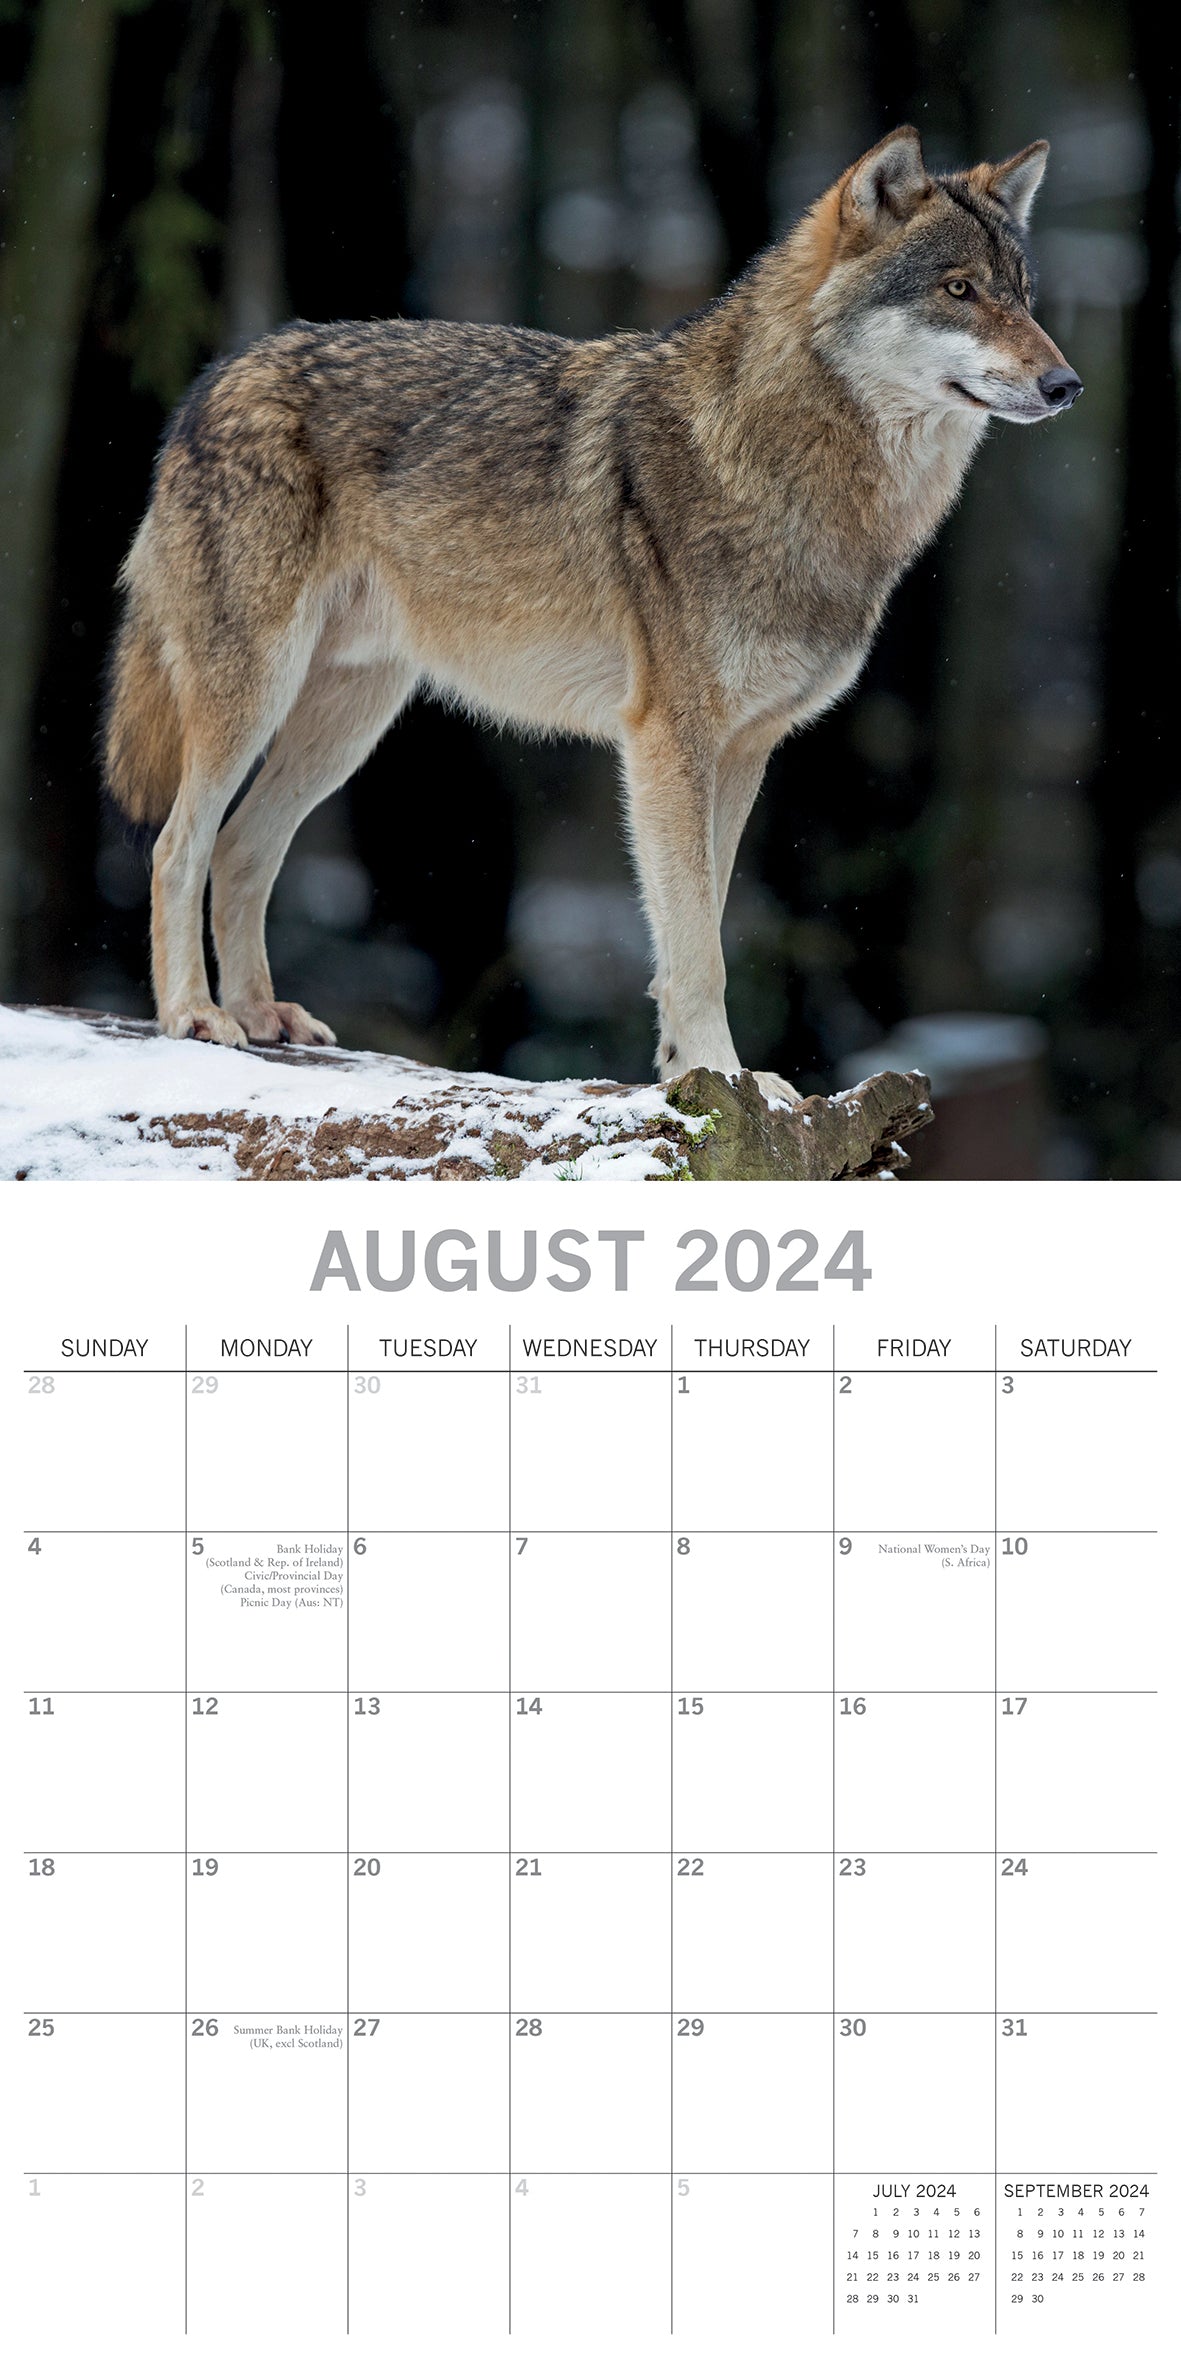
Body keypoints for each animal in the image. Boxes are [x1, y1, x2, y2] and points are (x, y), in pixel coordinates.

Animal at [103, 126, 1080, 1099]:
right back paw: (195, 1015)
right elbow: (697, 949)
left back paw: (263, 1014)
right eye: (958, 290)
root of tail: (214, 379)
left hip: (348, 724)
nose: (1066, 384)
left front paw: (700, 1079)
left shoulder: (744, 751)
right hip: (255, 698)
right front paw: (721, 1076)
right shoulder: (667, 742)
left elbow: (701, 925)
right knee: (177, 847)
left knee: (241, 849)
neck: (789, 467)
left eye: (1022, 296)